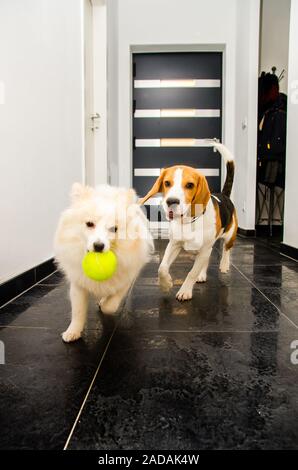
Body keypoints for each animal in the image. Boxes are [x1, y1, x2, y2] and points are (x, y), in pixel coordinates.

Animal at [54, 183, 154, 342]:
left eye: (114, 229)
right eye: (89, 224)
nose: (98, 246)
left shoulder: (127, 278)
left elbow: (111, 304)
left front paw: (104, 304)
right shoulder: (78, 283)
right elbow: (78, 310)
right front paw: (73, 332)